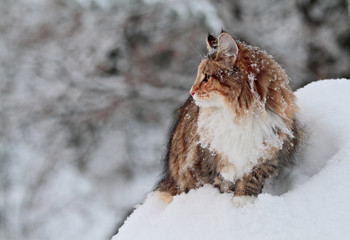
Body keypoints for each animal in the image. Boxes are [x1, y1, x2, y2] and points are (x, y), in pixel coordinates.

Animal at [154, 30, 302, 206]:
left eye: (207, 77)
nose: (191, 91)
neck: (241, 116)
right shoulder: (212, 163)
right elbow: (222, 185)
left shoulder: (267, 156)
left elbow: (251, 180)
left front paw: (242, 202)